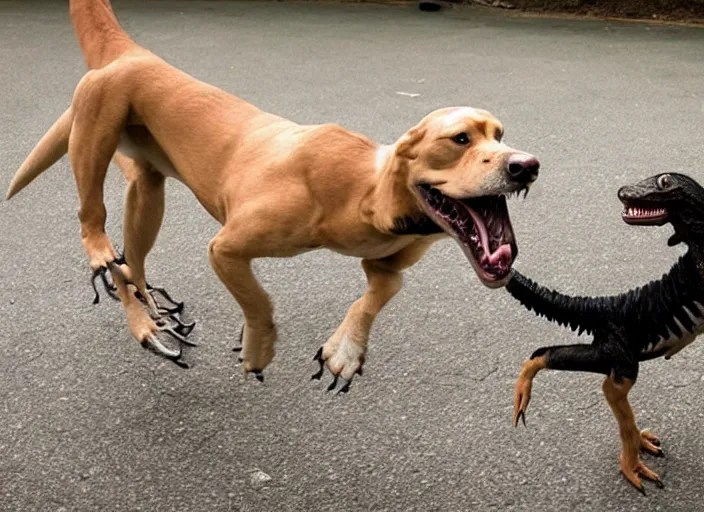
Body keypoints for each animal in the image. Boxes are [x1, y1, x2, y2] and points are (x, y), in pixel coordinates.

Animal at [5, 1, 540, 392]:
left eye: (499, 134)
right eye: (460, 139)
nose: (527, 165)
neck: (367, 192)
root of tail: (133, 53)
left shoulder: (385, 261)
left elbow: (379, 291)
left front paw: (344, 350)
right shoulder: (226, 247)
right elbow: (259, 301)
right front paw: (258, 347)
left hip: (147, 187)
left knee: (132, 261)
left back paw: (154, 316)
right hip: (96, 128)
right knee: (93, 223)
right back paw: (127, 296)